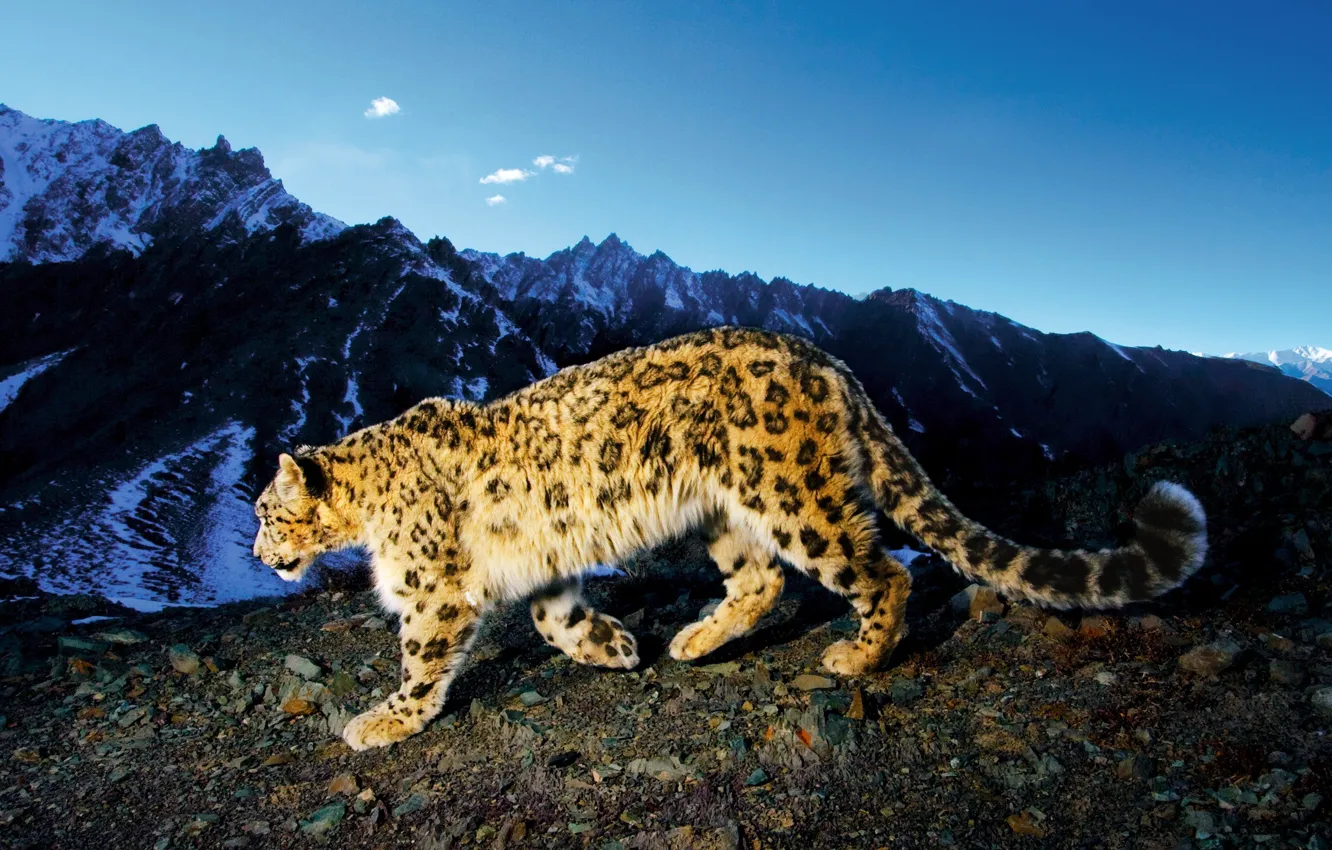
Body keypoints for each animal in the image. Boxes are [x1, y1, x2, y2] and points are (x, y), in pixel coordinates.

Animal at [252, 326, 1208, 751]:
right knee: (762, 581)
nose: (259, 554)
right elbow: (554, 619)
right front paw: (613, 646)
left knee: (879, 572)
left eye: (264, 511)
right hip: (724, 513)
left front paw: (383, 720)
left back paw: (855, 657)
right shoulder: (544, 567)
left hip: (794, 495)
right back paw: (691, 640)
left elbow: (422, 659)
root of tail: (828, 361)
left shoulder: (432, 589)